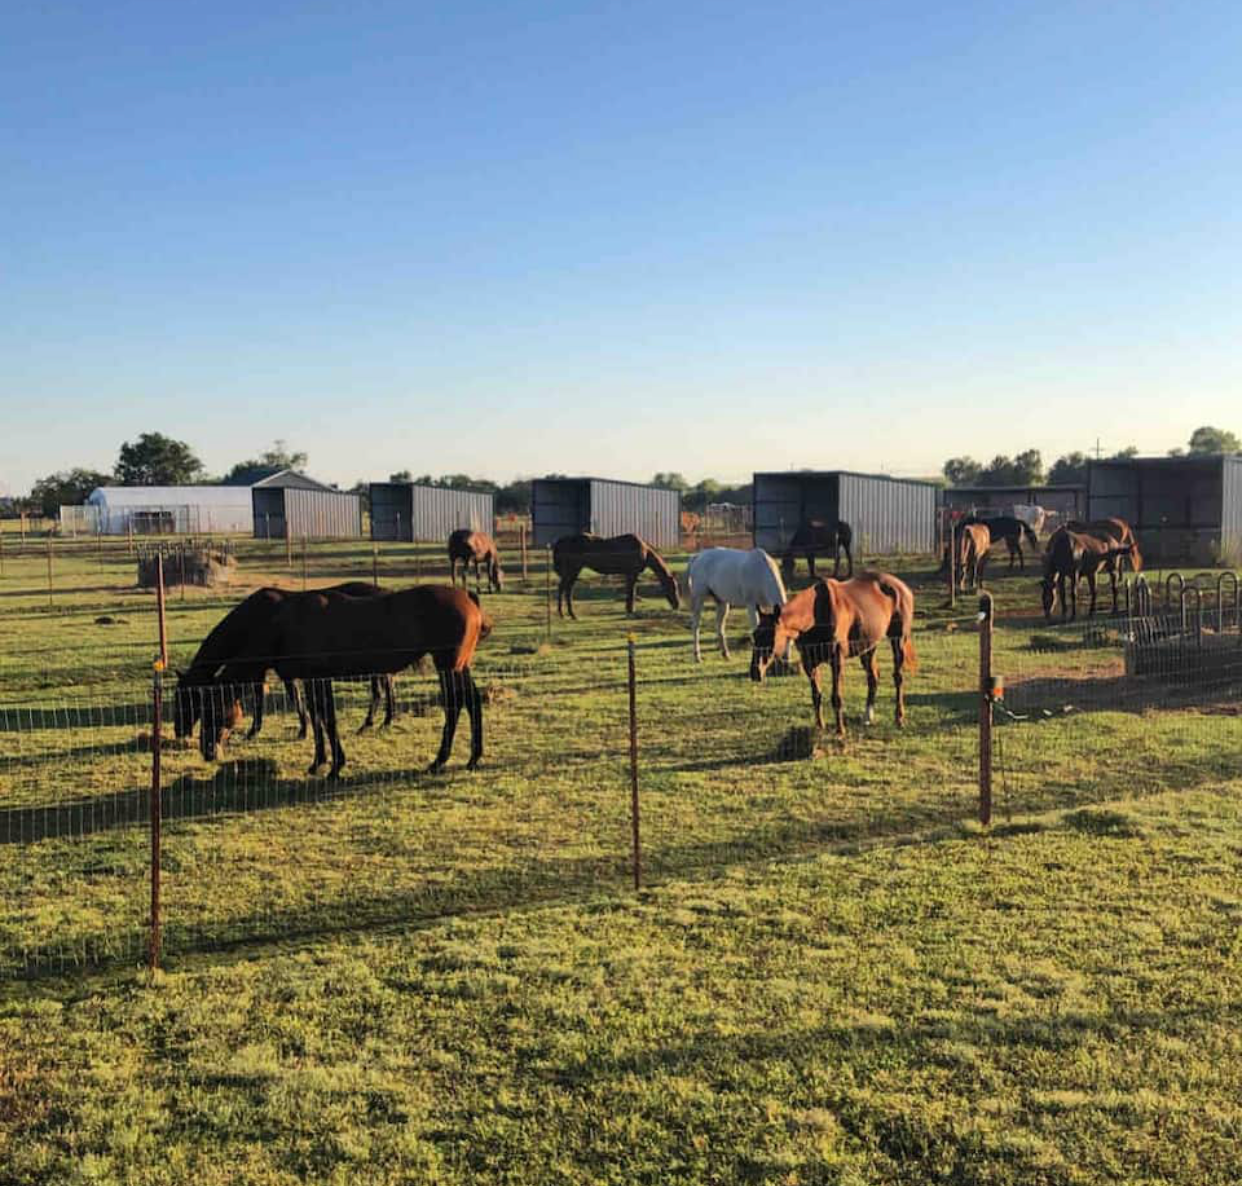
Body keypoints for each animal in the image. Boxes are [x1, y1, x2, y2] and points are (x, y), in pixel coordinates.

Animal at [175, 583, 396, 743]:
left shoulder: (279, 671)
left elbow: (289, 699)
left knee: (381, 690)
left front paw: (299, 731)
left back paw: (374, 723)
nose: (179, 732)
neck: (255, 617)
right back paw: (382, 722)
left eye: (187, 698)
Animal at [200, 586, 490, 778]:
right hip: (459, 666)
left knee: (455, 704)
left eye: (212, 711)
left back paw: (442, 760)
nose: (207, 751)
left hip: (448, 665)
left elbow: (327, 719)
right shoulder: (313, 680)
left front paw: (335, 766)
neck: (284, 628)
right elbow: (318, 717)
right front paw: (319, 762)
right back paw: (471, 758)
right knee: (470, 702)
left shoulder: (317, 679)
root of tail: (467, 596)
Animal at [552, 533, 680, 619]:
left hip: (574, 570)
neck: (644, 551)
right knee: (563, 588)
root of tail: (562, 540)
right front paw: (630, 610)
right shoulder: (632, 574)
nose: (677, 605)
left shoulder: (630, 574)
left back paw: (570, 614)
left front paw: (629, 609)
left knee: (567, 589)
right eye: (673, 587)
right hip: (573, 569)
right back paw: (564, 614)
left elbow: (631, 591)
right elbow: (631, 592)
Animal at [750, 572, 917, 737]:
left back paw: (899, 718)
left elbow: (836, 697)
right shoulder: (809, 662)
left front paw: (840, 730)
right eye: (754, 635)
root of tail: (901, 587)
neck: (816, 615)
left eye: (771, 637)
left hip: (898, 640)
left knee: (898, 677)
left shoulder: (836, 660)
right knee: (873, 677)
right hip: (868, 646)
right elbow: (816, 695)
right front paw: (820, 726)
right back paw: (868, 718)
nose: (755, 672)